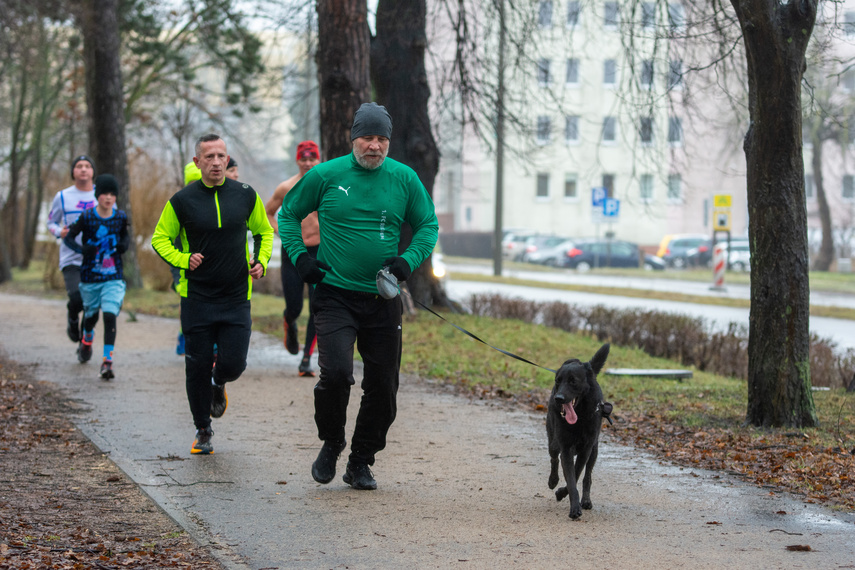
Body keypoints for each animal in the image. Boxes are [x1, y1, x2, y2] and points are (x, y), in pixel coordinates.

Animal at [544, 344, 612, 516]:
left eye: (573, 381)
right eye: (558, 381)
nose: (559, 398)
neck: (580, 416)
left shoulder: (586, 450)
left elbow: (576, 474)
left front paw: (564, 494)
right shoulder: (566, 449)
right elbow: (571, 478)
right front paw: (573, 506)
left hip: (594, 451)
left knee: (587, 477)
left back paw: (586, 500)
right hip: (554, 443)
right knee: (554, 458)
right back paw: (553, 480)